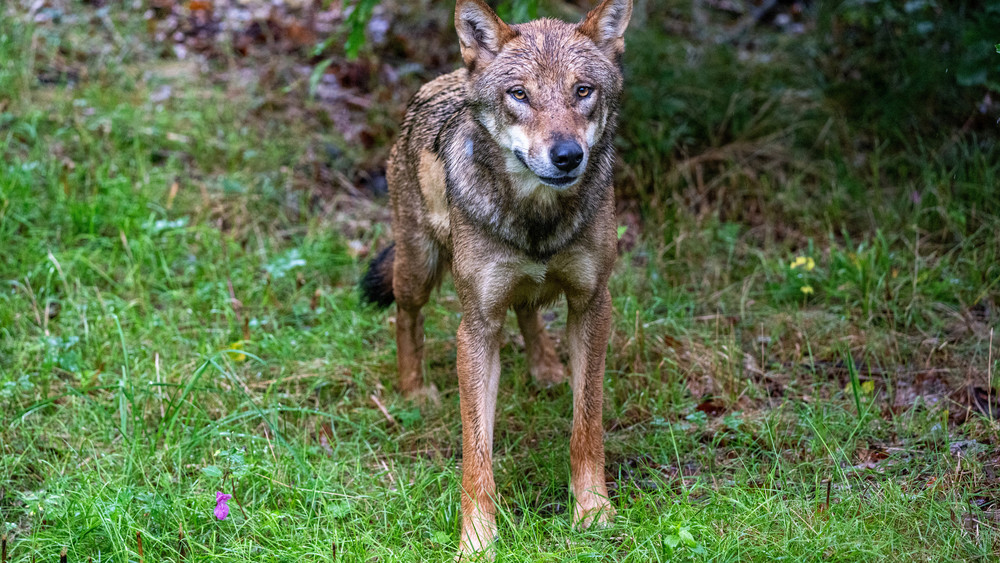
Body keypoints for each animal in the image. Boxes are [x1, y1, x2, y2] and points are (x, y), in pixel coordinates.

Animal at [362, 0, 632, 556]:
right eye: (519, 94)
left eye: (582, 91)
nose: (567, 155)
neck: (537, 219)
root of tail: (445, 79)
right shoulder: (477, 327)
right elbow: (477, 453)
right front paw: (477, 541)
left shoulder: (593, 304)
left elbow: (586, 425)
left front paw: (593, 511)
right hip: (418, 268)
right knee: (406, 315)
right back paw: (414, 391)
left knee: (527, 307)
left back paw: (547, 368)